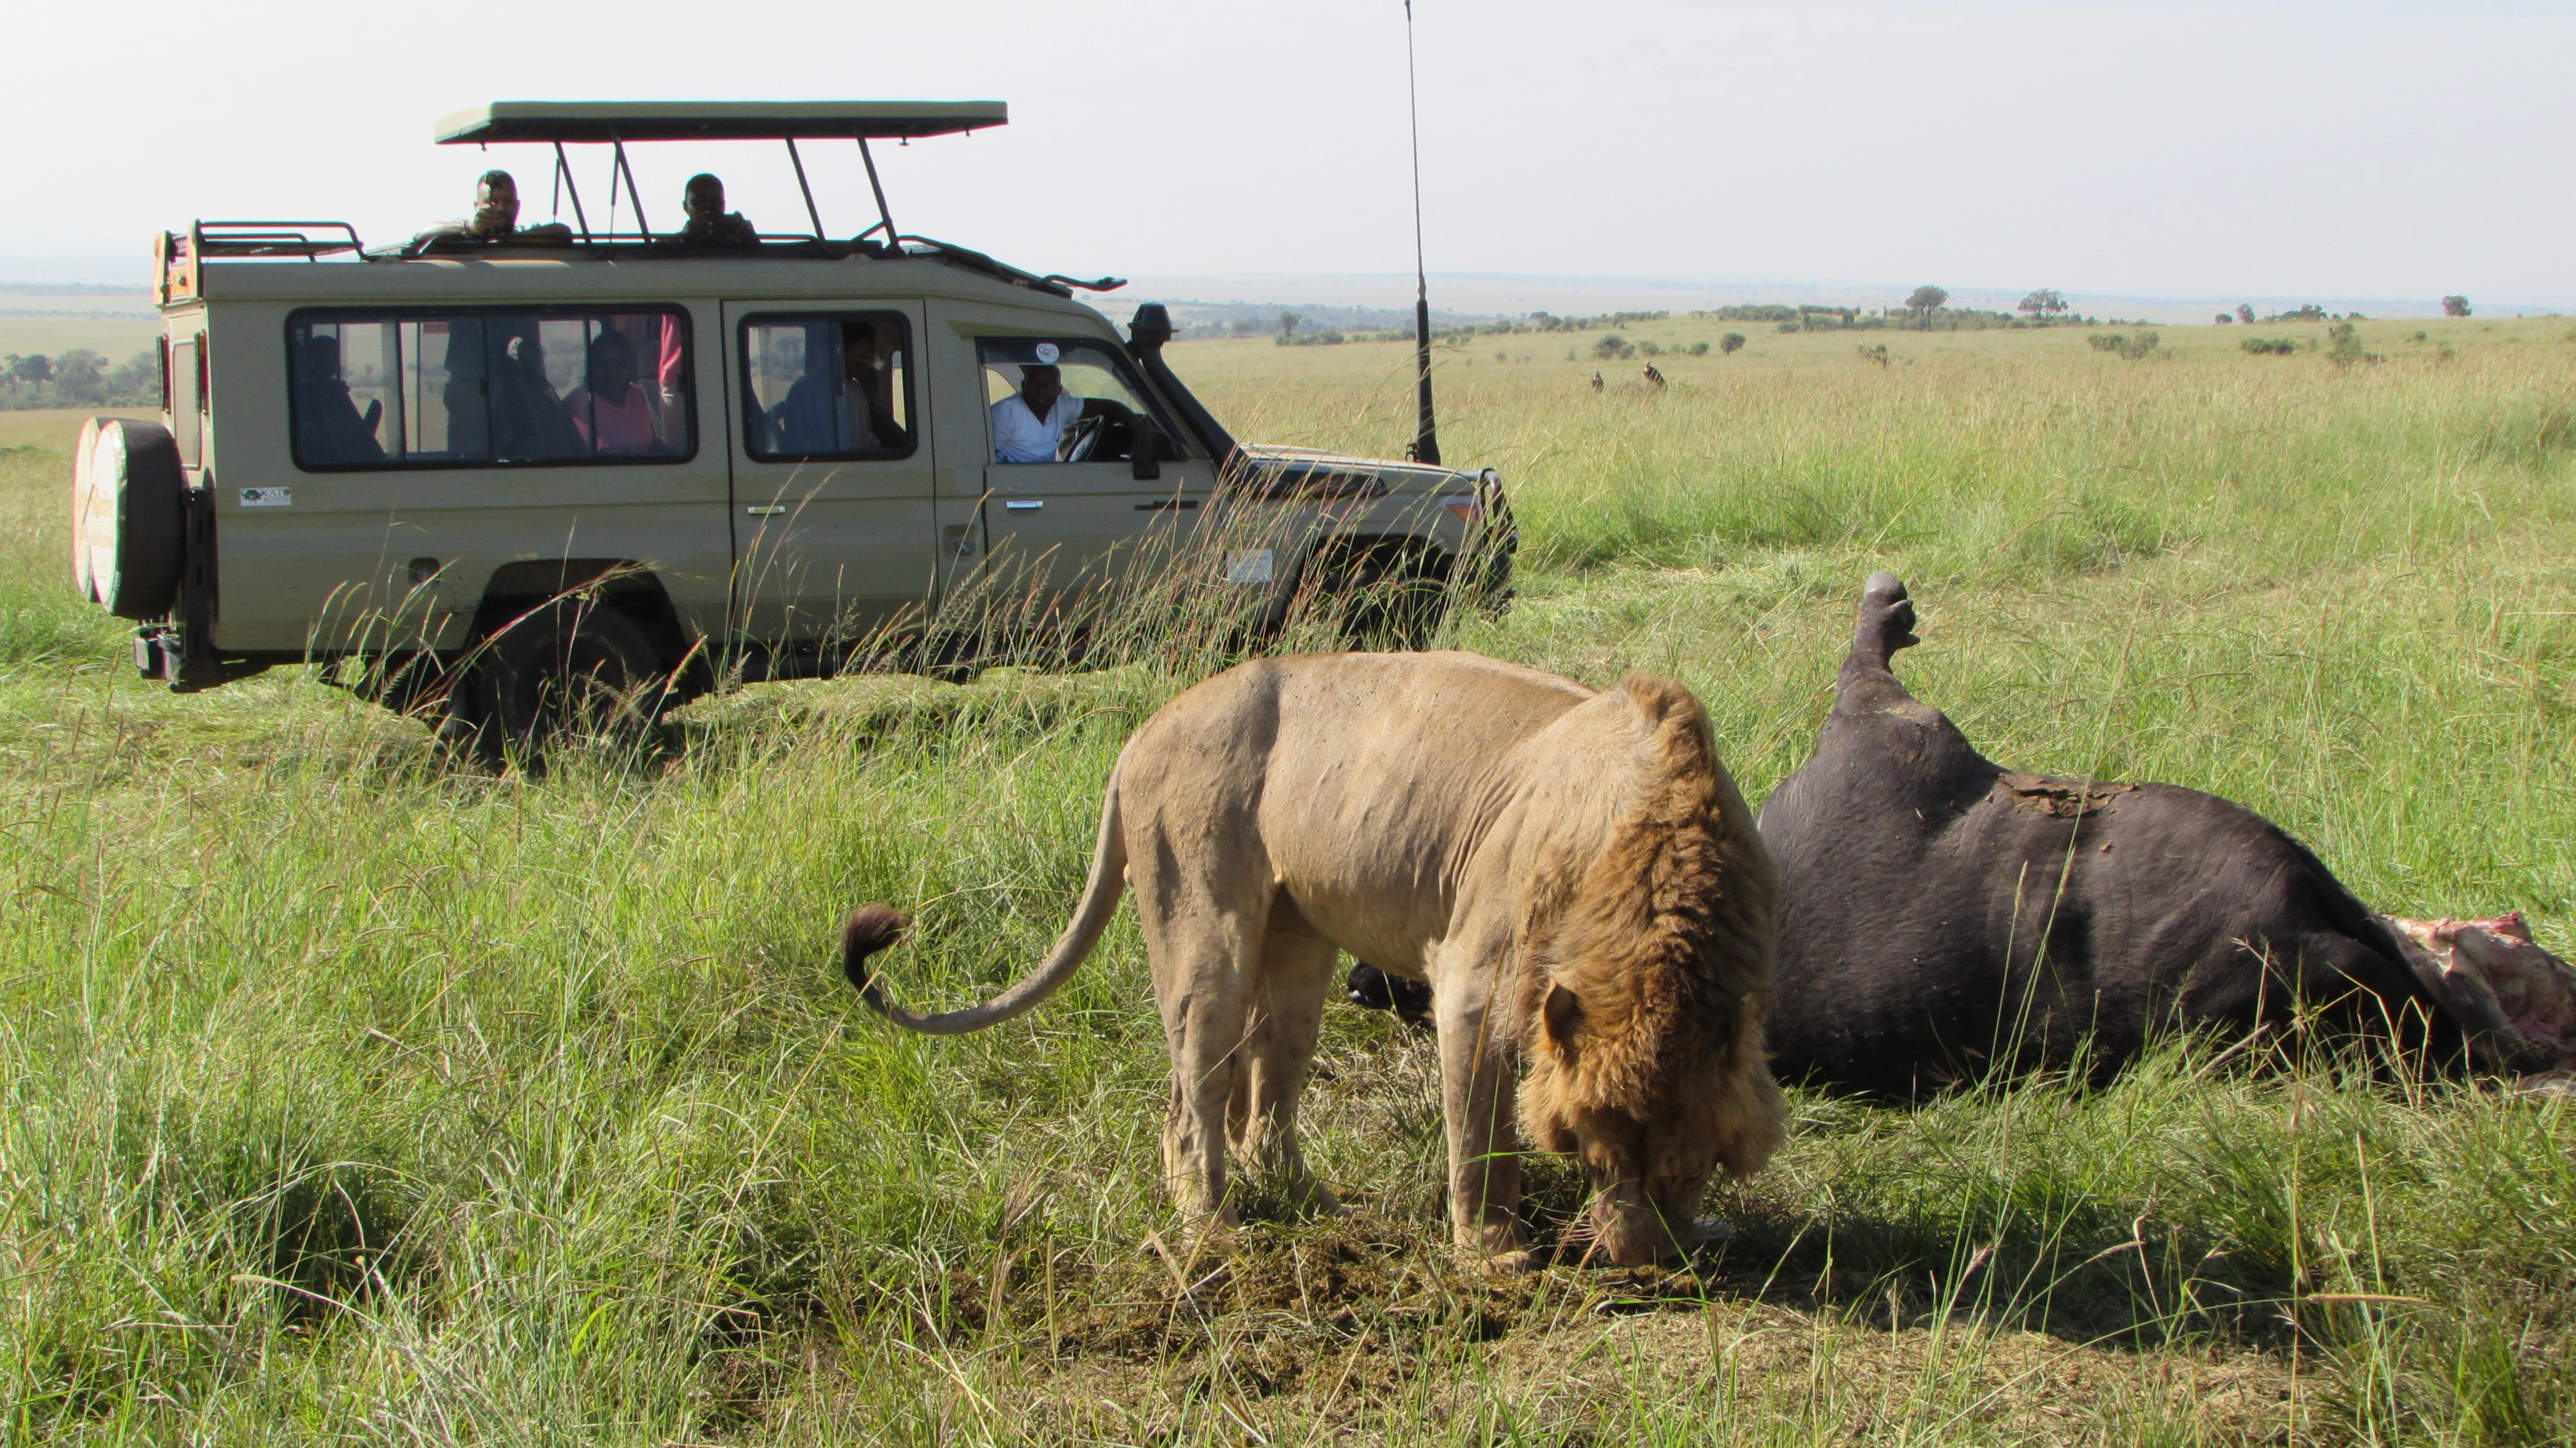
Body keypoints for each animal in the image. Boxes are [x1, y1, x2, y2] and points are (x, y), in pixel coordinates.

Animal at [835, 649, 1783, 1257]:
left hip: (1299, 948)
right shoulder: (1473, 979)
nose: (1642, 1264)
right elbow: (1479, 1136)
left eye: (1689, 1167)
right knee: (1191, 1103)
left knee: (1263, 1102)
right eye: (1593, 1153)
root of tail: (1140, 732)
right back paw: (1210, 1232)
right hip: (1203, 928)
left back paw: (1314, 1204)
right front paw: (1490, 1253)